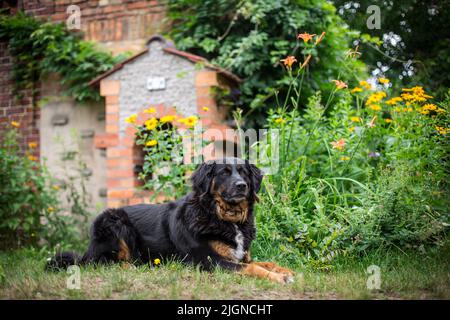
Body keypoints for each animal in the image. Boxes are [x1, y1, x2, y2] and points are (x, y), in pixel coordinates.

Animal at [47, 156, 296, 284]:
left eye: (243, 172)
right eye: (224, 173)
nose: (242, 186)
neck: (221, 216)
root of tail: (87, 251)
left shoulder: (241, 255)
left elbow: (263, 263)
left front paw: (285, 271)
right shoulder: (208, 261)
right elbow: (252, 268)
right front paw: (279, 278)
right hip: (113, 220)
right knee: (108, 263)